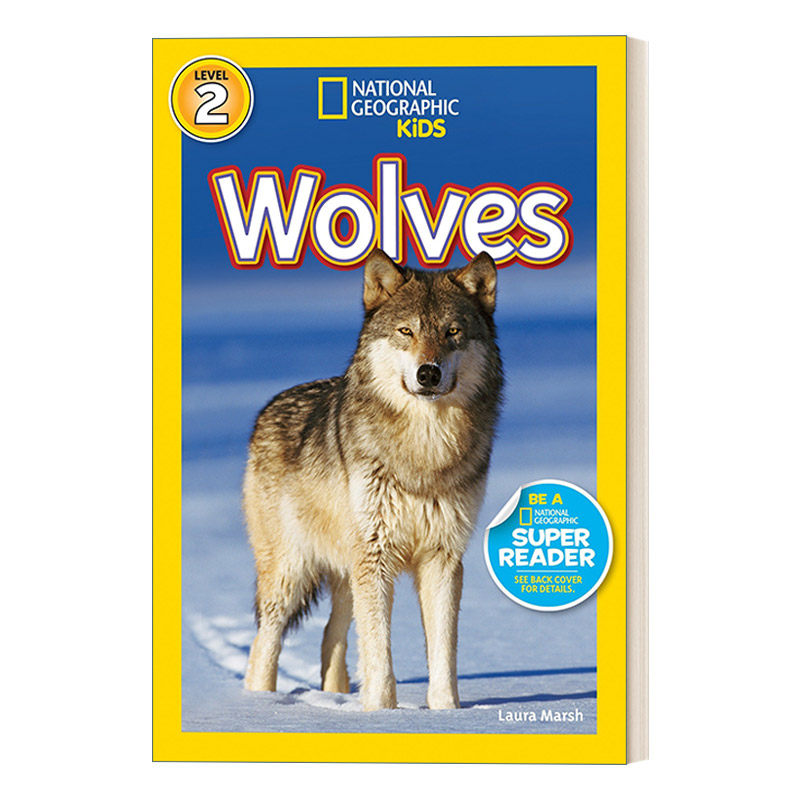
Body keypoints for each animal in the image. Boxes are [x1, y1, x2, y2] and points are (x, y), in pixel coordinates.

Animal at [243, 248, 502, 710]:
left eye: (452, 332)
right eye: (406, 331)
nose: (428, 373)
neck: (423, 451)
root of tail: (268, 406)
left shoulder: (442, 558)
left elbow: (443, 652)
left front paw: (447, 713)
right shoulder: (377, 557)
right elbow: (379, 653)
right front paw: (382, 714)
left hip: (347, 573)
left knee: (333, 635)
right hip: (291, 573)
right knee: (264, 644)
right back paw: (261, 704)